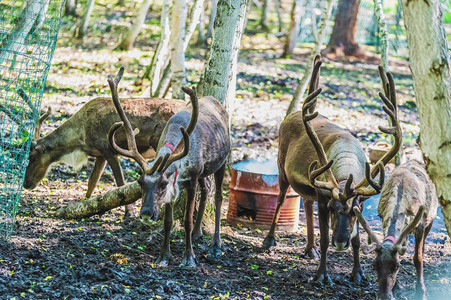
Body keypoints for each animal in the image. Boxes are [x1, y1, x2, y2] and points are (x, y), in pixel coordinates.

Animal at [22, 71, 185, 216]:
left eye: (32, 157)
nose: (26, 183)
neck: (80, 139)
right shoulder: (100, 154)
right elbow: (92, 181)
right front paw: (84, 204)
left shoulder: (109, 150)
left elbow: (120, 183)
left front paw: (129, 213)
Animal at [107, 67, 231, 266]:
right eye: (140, 182)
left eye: (163, 184)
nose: (146, 214)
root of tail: (217, 103)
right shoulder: (180, 182)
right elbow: (168, 222)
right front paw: (164, 255)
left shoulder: (192, 178)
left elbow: (187, 220)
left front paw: (189, 257)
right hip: (205, 171)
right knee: (206, 188)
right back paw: (198, 233)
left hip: (222, 161)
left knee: (218, 197)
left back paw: (216, 246)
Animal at [262, 56, 402, 284]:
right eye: (333, 208)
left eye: (355, 211)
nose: (341, 241)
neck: (345, 177)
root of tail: (290, 116)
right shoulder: (323, 196)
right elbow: (325, 238)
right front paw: (322, 275)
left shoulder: (358, 199)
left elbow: (357, 241)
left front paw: (358, 274)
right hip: (281, 165)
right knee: (281, 198)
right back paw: (269, 240)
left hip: (308, 185)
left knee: (306, 202)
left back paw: (310, 248)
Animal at [354, 162, 440, 300]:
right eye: (374, 265)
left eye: (397, 266)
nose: (384, 296)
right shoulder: (382, 218)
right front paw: (396, 288)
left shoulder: (420, 225)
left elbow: (418, 259)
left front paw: (421, 292)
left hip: (430, 219)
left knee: (422, 246)